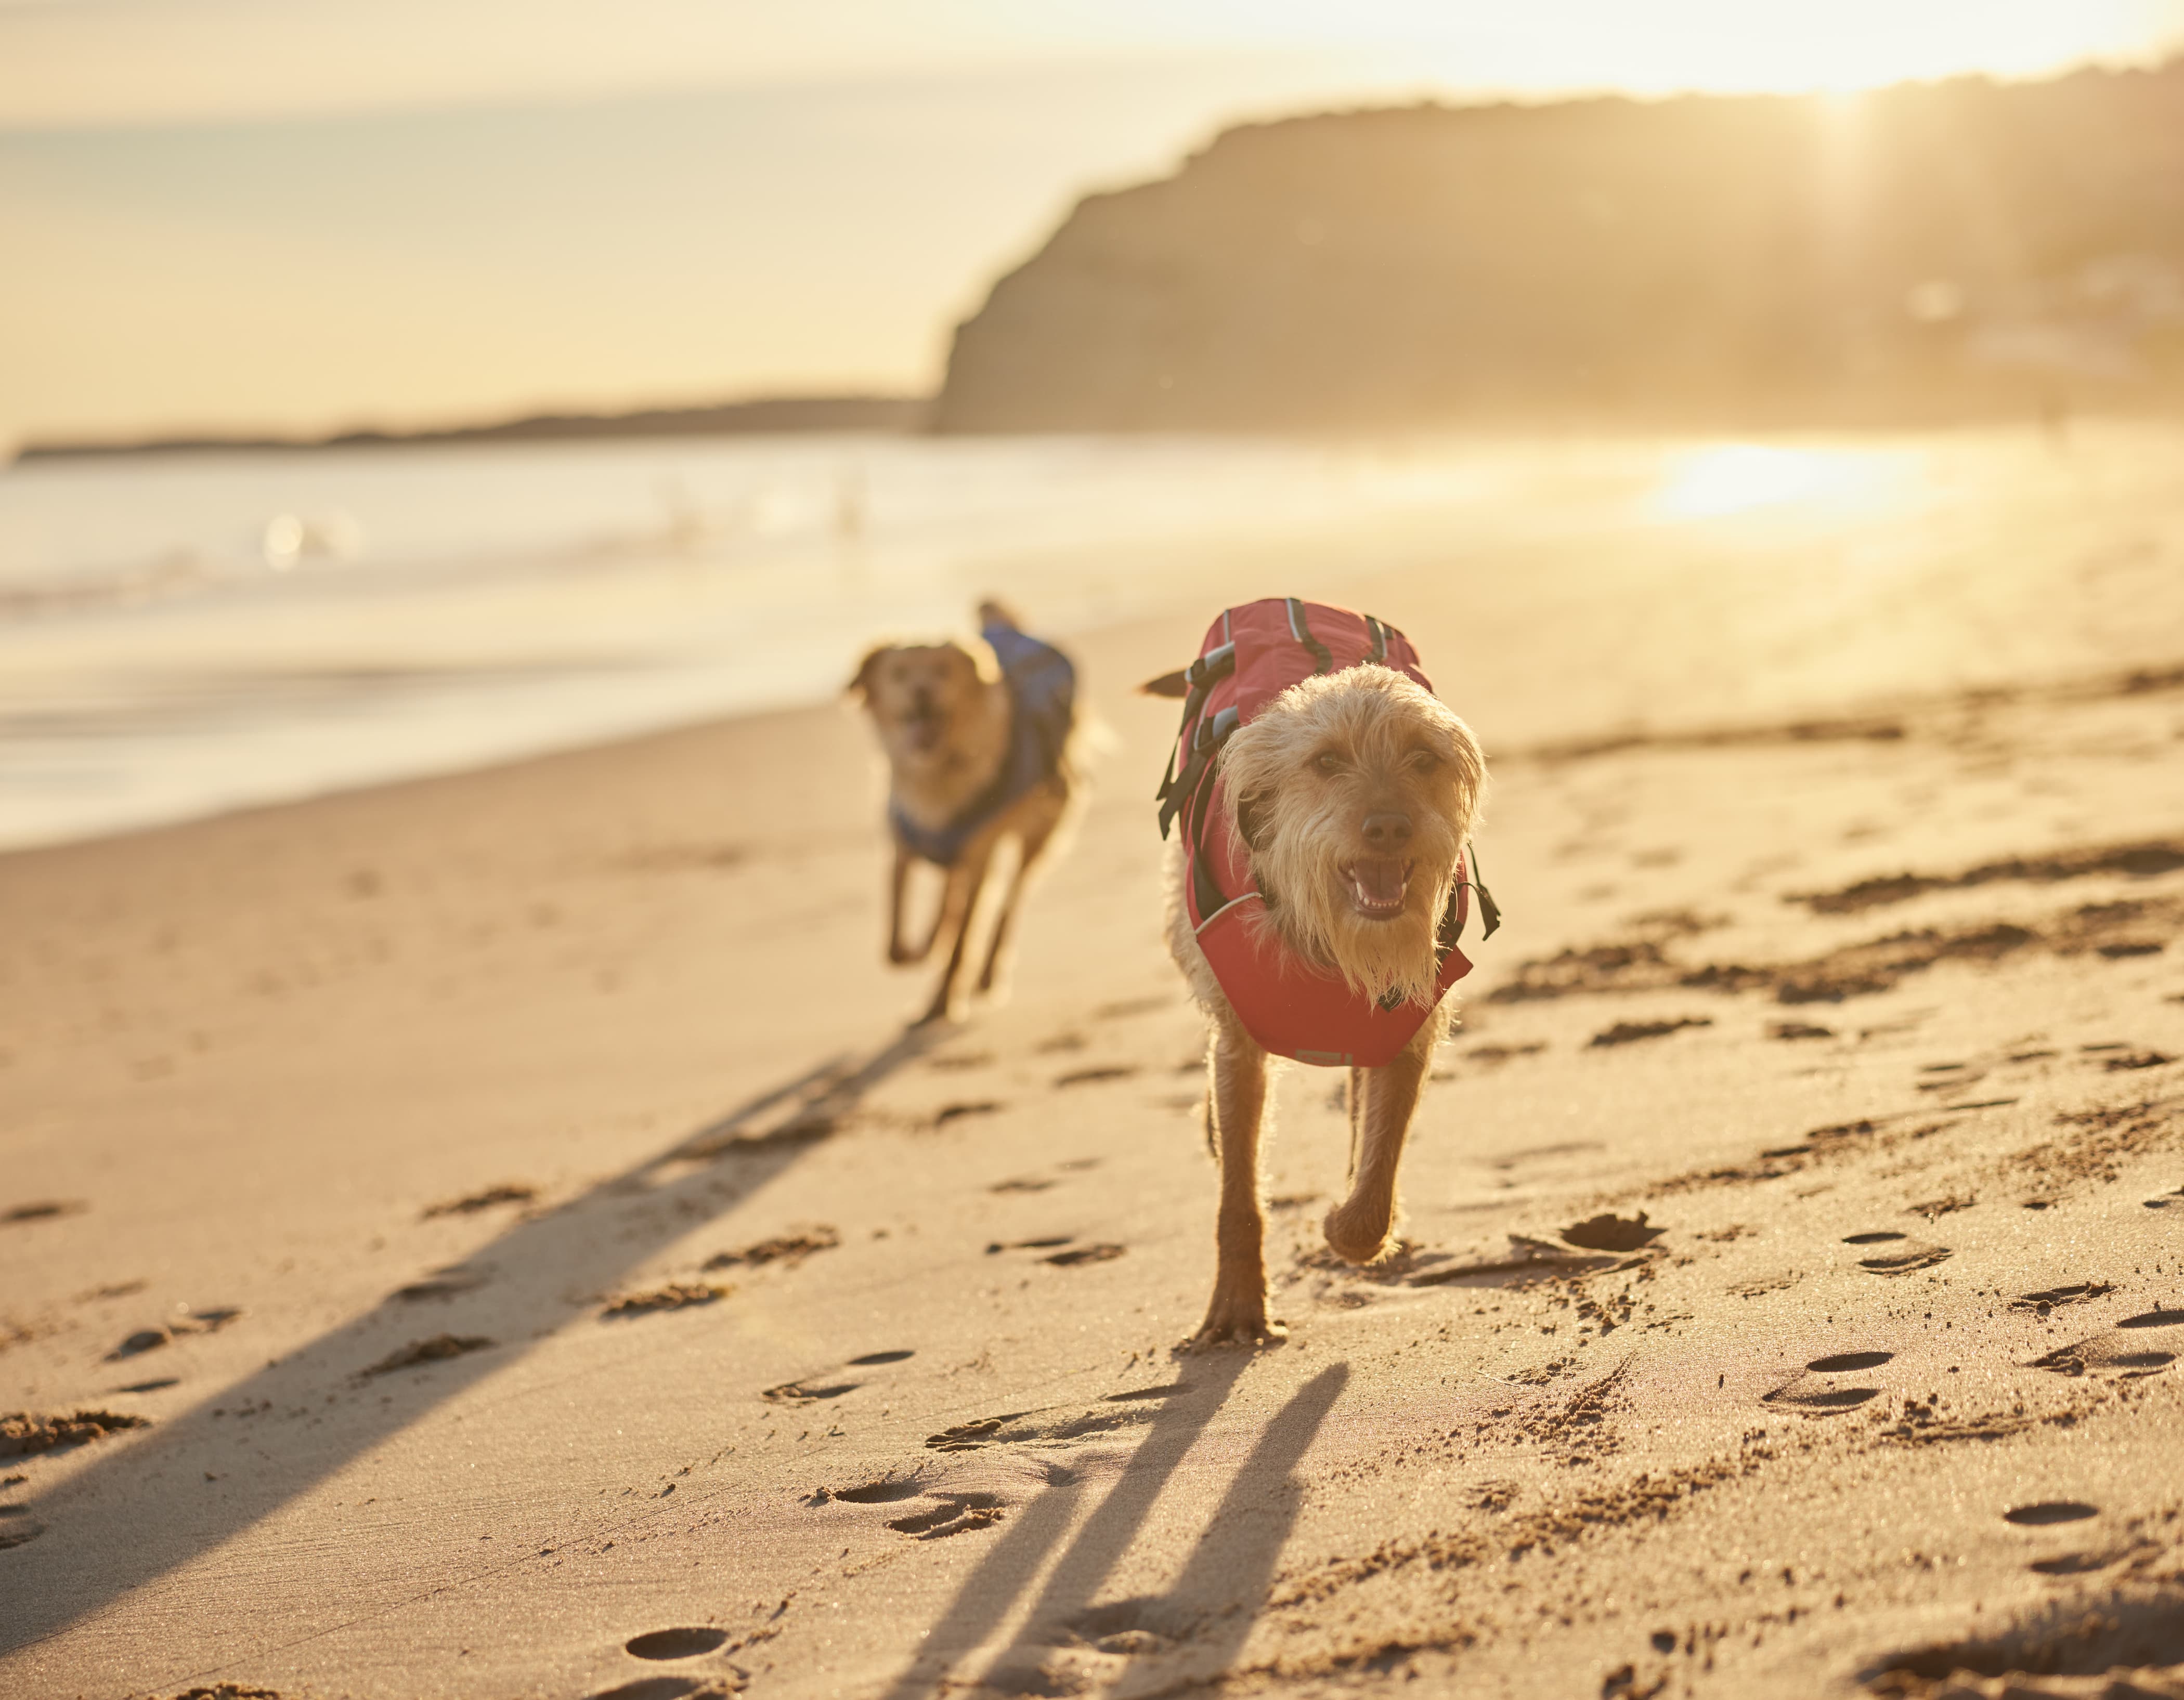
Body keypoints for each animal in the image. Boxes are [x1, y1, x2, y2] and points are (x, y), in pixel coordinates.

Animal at [847, 598, 1078, 1025]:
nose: (923, 692)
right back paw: (932, 940)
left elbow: (962, 940)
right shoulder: (902, 843)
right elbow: (894, 937)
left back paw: (986, 973)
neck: (936, 771)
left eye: (943, 671)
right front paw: (920, 951)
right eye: (899, 674)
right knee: (948, 900)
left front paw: (941, 1003)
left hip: (1038, 832)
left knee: (1008, 905)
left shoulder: (978, 858)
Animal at [1171, 663, 1493, 1344]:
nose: (1388, 827)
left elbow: (1374, 1182)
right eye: (1326, 761)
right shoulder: (1238, 1042)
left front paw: (1348, 1225)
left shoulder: (1408, 1027)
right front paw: (1237, 1305)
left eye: (1423, 758)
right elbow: (1239, 1194)